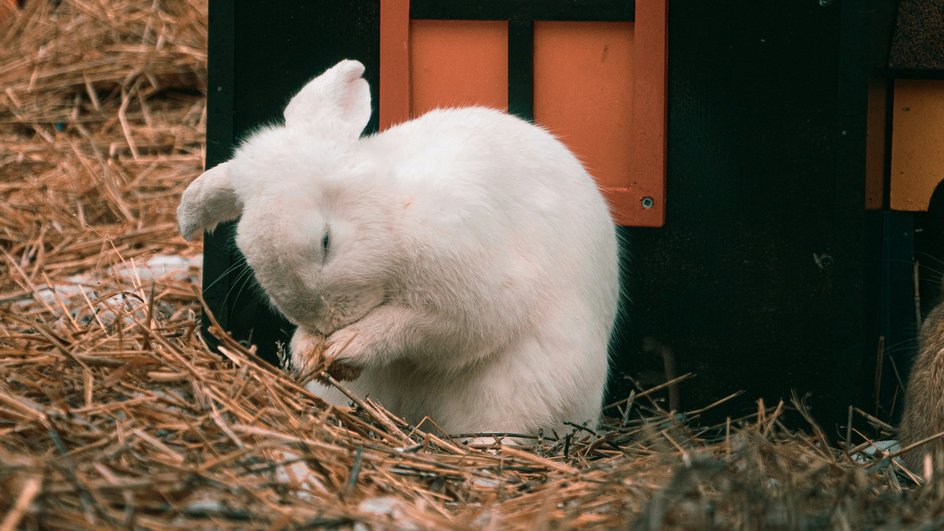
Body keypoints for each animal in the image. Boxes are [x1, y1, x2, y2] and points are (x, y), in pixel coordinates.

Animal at [179, 60, 620, 438]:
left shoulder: (468, 300)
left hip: (517, 392)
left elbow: (414, 327)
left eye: (325, 240)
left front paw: (347, 344)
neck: (393, 215)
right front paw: (308, 351)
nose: (326, 321)